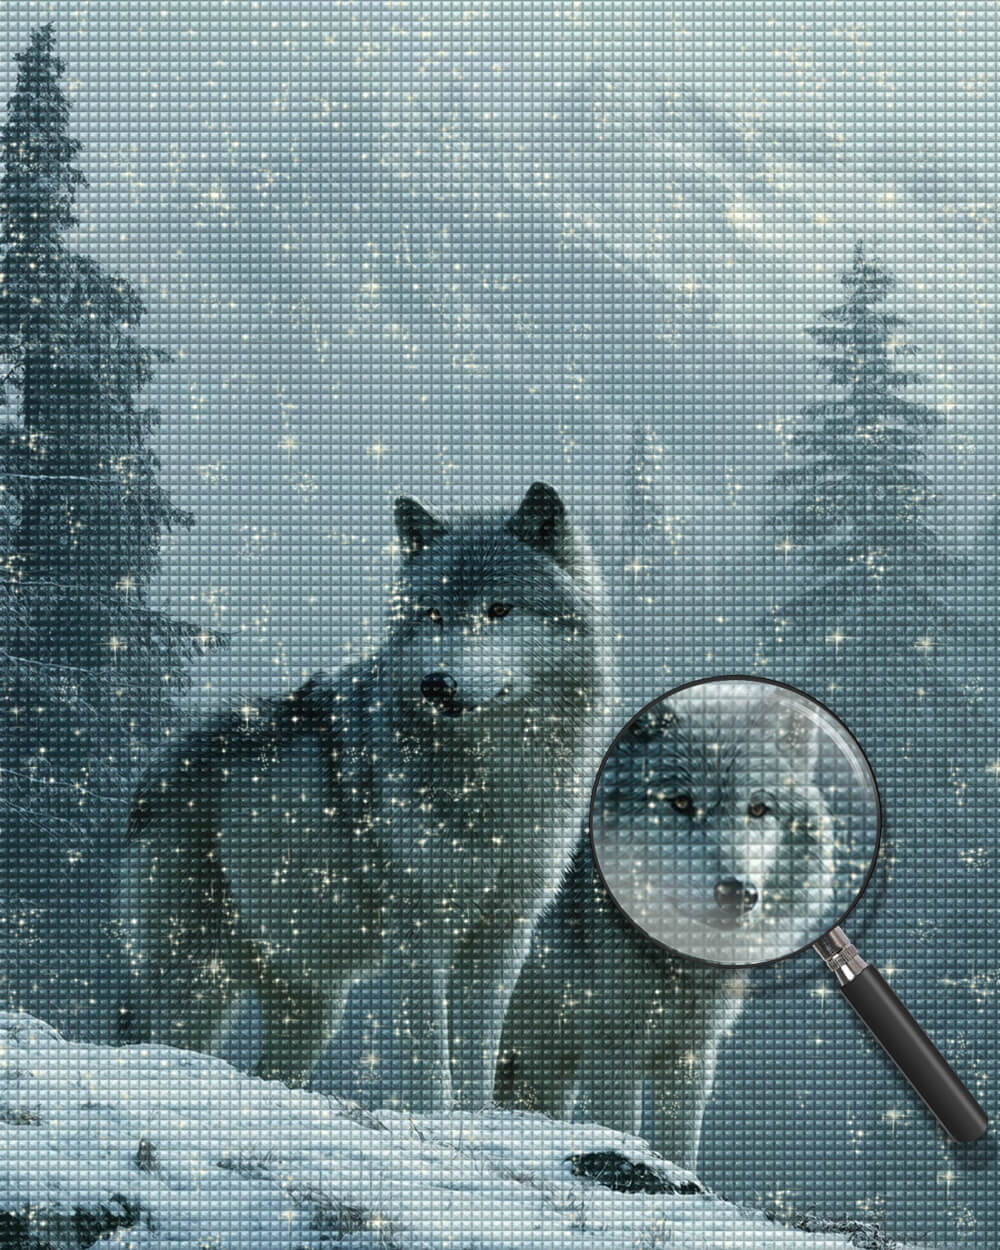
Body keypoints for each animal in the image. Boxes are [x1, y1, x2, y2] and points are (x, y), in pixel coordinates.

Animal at [117, 483, 611, 1112]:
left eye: (499, 610)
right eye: (433, 614)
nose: (437, 684)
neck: (494, 779)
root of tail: (155, 768)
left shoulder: (503, 936)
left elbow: (476, 1065)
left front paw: (475, 1123)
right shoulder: (421, 933)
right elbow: (428, 1062)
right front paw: (434, 1120)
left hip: (313, 1008)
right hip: (199, 983)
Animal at [496, 680, 836, 1169]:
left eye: (758, 809)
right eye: (680, 802)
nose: (736, 892)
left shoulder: (690, 1057)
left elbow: (680, 1150)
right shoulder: (613, 1052)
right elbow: (622, 1128)